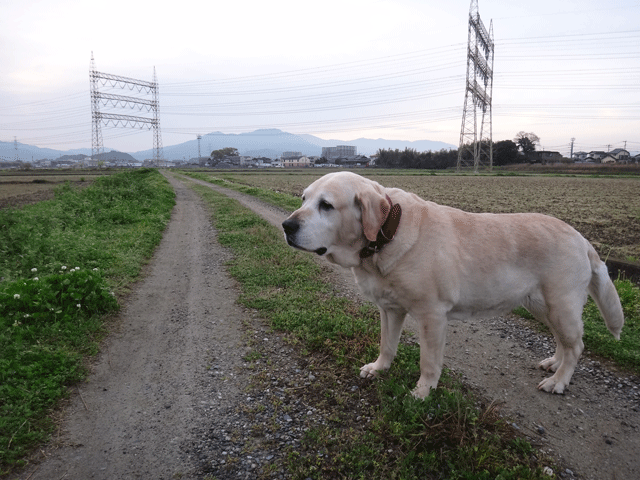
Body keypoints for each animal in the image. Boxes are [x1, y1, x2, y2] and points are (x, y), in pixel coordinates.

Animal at [282, 172, 624, 398]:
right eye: (303, 199)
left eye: (326, 205)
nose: (287, 225)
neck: (385, 235)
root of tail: (582, 238)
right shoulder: (390, 309)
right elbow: (386, 344)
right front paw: (379, 368)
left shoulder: (432, 315)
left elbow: (429, 361)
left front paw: (423, 392)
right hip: (542, 305)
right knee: (563, 341)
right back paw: (554, 363)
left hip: (560, 304)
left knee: (576, 345)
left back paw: (559, 381)